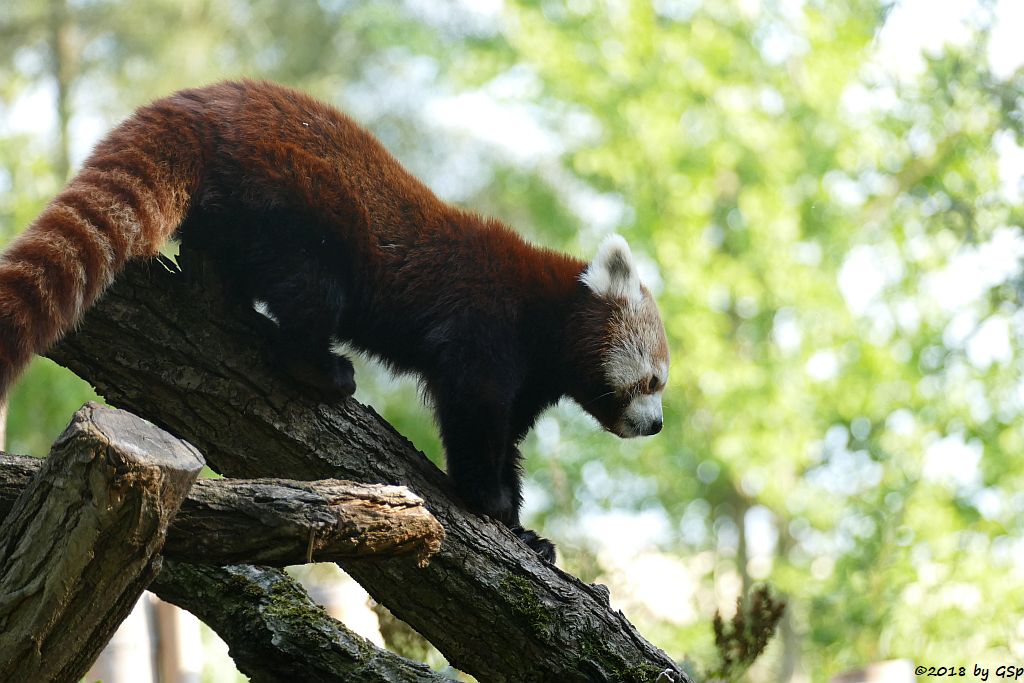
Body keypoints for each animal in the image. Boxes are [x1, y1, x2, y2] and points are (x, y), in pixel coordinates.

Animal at [2, 80, 671, 561]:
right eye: (653, 381)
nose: (658, 425)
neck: (546, 310)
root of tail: (206, 100)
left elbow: (506, 434)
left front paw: (524, 529)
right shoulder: (484, 328)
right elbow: (472, 411)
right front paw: (490, 500)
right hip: (294, 204)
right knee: (312, 294)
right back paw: (319, 368)